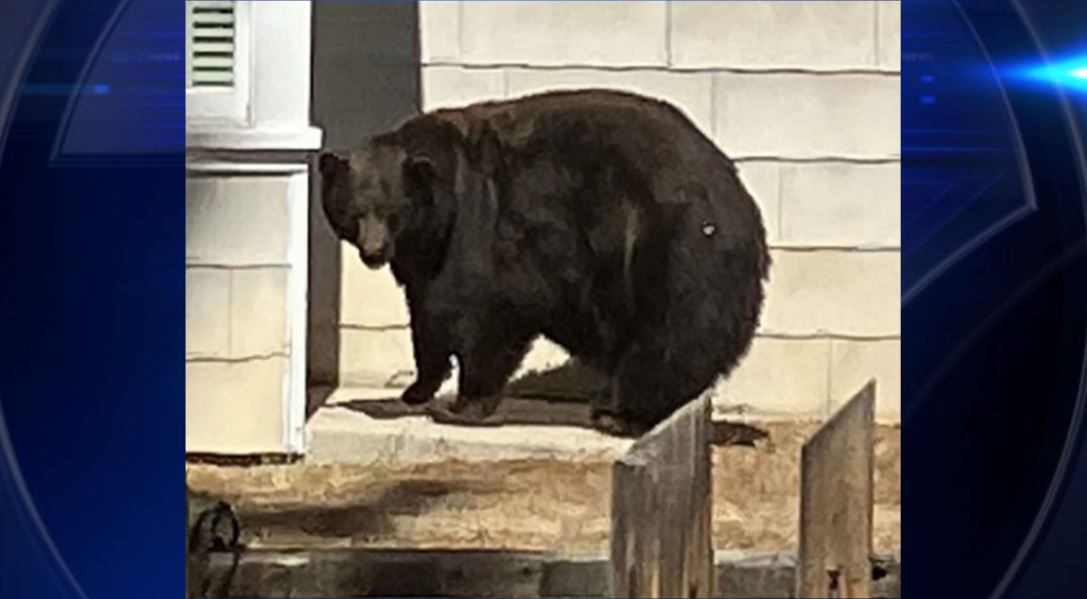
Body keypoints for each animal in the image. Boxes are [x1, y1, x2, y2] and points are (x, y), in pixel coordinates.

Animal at [319, 89, 770, 436]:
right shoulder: (426, 257)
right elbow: (428, 314)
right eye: (353, 211)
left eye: (392, 211)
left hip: (668, 248)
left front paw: (462, 404)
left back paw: (620, 414)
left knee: (669, 335)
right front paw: (416, 389)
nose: (373, 252)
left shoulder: (489, 228)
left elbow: (489, 311)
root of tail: (741, 200)